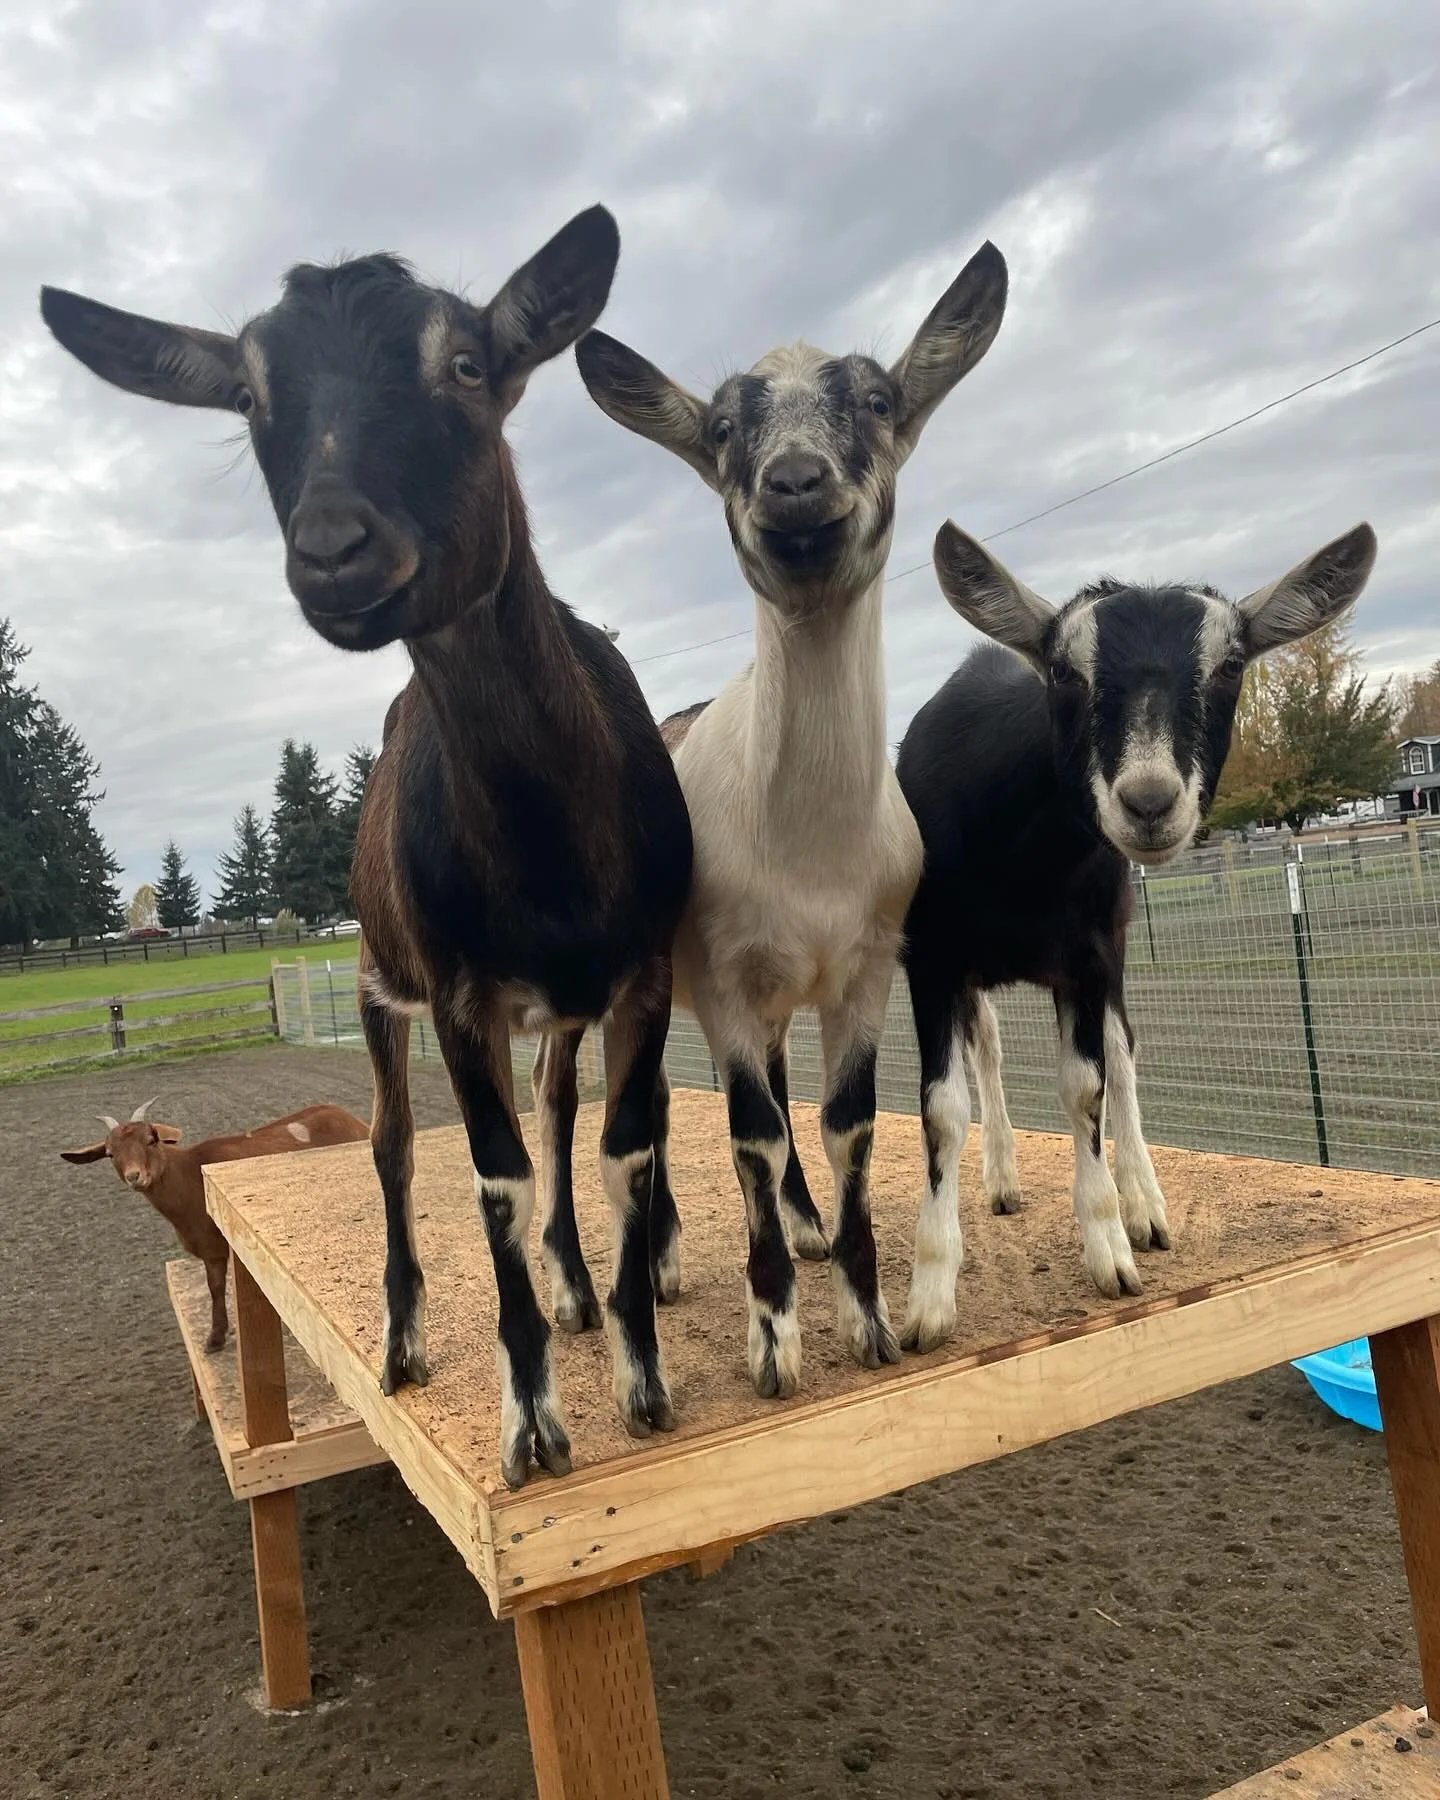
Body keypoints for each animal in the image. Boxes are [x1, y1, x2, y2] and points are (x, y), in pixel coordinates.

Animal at [61, 1100, 371, 1350]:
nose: (135, 1176)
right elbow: (215, 1287)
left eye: (151, 1140)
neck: (189, 1175)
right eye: (110, 1153)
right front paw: (215, 1338)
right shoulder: (211, 1251)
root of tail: (356, 1121)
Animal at [575, 241, 1008, 1398]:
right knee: (654, 1108)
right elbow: (749, 1139)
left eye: (877, 399)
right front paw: (774, 1338)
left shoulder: (864, 969)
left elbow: (845, 1125)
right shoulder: (723, 980)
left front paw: (869, 1317)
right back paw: (668, 1260)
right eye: (725, 427)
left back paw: (806, 1227)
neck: (808, 844)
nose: (797, 485)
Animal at [890, 519, 1377, 1346]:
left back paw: (1143, 1203)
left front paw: (1110, 1248)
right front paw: (929, 1298)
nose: (1150, 802)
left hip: (1113, 951)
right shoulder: (931, 960)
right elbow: (941, 1108)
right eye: (1064, 670)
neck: (1020, 855)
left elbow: (1087, 1085)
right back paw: (1003, 1179)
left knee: (1122, 1053)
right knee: (990, 1050)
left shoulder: (1089, 958)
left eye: (1231, 664)